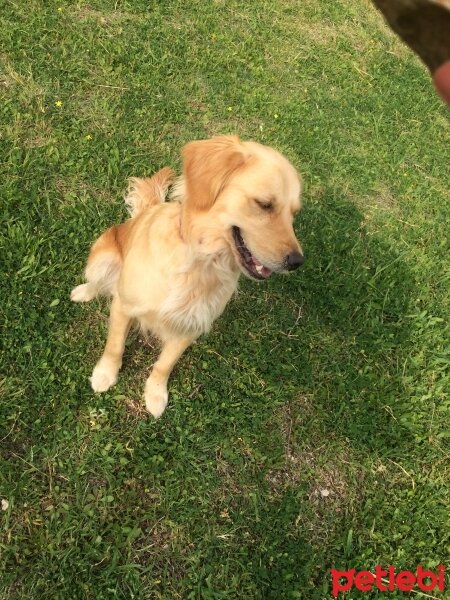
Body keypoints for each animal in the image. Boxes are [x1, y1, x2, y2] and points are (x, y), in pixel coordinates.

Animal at [70, 136, 304, 418]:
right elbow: (115, 345)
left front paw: (155, 394)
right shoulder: (124, 306)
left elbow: (165, 364)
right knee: (98, 282)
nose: (297, 262)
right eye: (264, 204)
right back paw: (83, 292)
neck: (199, 262)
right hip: (102, 258)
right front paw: (105, 374)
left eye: (294, 214)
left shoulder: (190, 326)